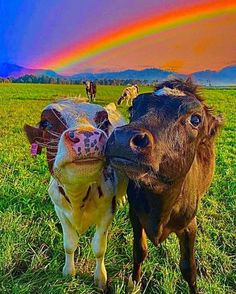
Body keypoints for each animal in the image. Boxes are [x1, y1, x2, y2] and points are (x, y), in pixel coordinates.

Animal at [24, 99, 127, 292]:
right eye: (45, 123)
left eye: (104, 123)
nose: (88, 136)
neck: (78, 196)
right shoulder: (60, 211)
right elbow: (69, 245)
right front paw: (68, 272)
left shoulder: (107, 212)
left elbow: (99, 248)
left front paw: (100, 278)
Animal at [106, 78, 222, 294]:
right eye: (133, 108)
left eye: (195, 119)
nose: (124, 138)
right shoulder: (136, 216)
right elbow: (139, 251)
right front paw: (135, 282)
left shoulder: (189, 226)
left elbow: (189, 268)